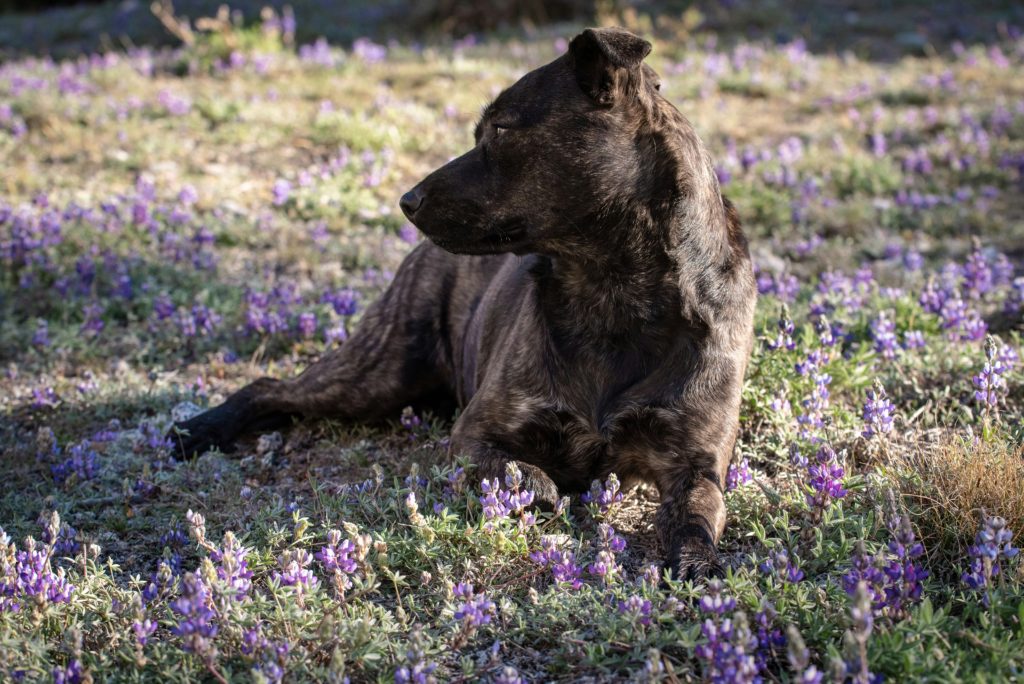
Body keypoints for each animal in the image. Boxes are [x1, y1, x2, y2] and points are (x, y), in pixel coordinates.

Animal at [172, 28, 757, 581]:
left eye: (500, 129)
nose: (407, 201)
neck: (612, 292)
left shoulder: (696, 463)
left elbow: (698, 513)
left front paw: (697, 561)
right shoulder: (476, 434)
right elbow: (523, 473)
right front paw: (538, 493)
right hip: (375, 374)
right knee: (271, 387)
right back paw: (198, 430)